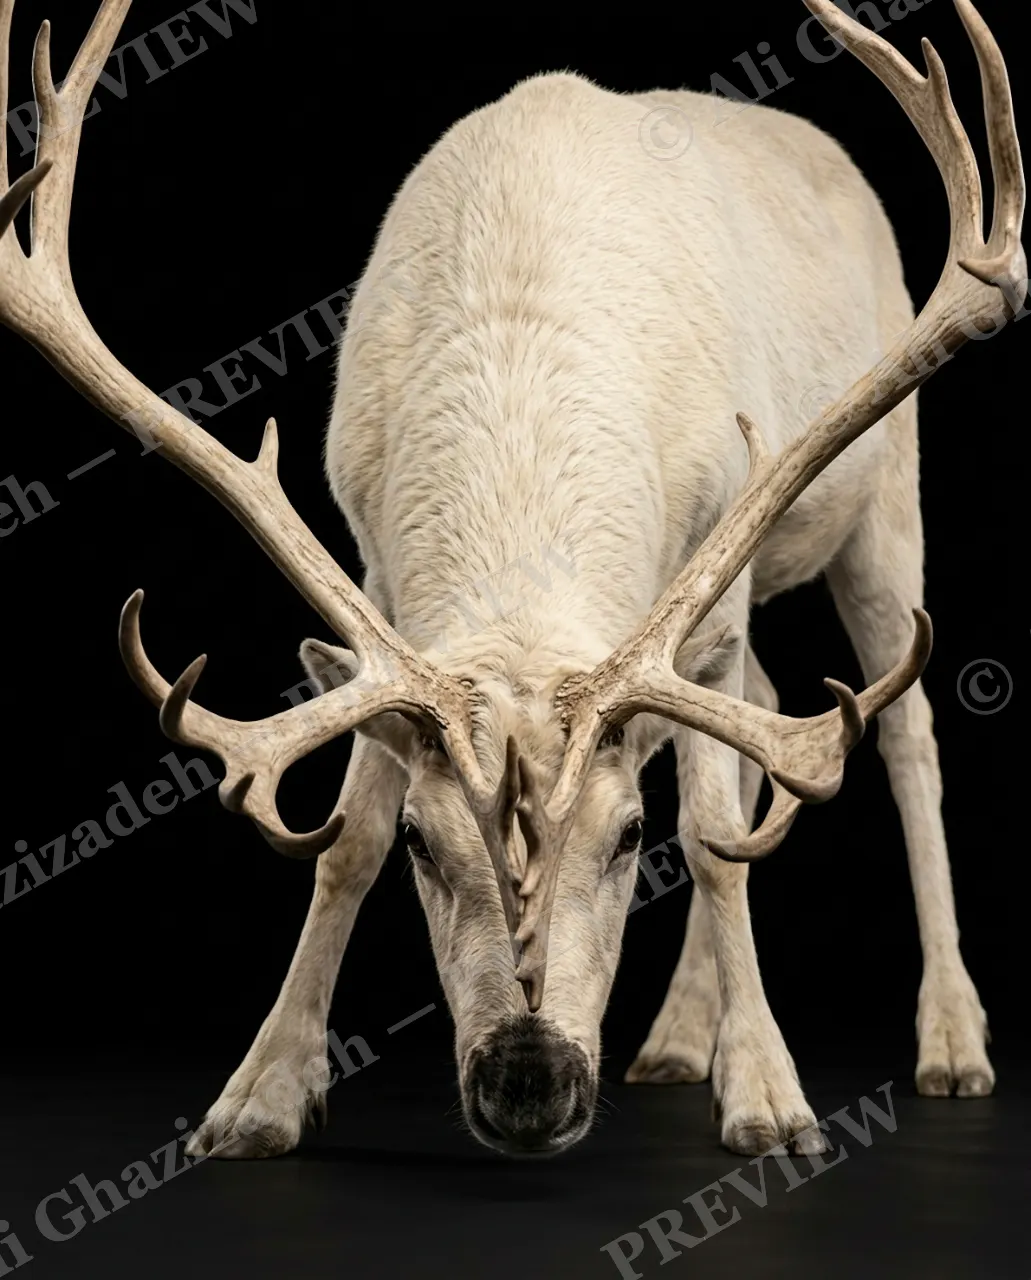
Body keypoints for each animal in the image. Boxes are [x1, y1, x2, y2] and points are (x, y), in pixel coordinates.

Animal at [0, 0, 1024, 1161]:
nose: (529, 1084)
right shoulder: (375, 565)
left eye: (626, 836)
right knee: (764, 698)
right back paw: (678, 1036)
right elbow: (341, 841)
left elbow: (712, 841)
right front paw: (258, 1097)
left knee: (901, 735)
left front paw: (770, 1101)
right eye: (423, 842)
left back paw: (950, 1041)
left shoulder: (718, 542)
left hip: (883, 497)